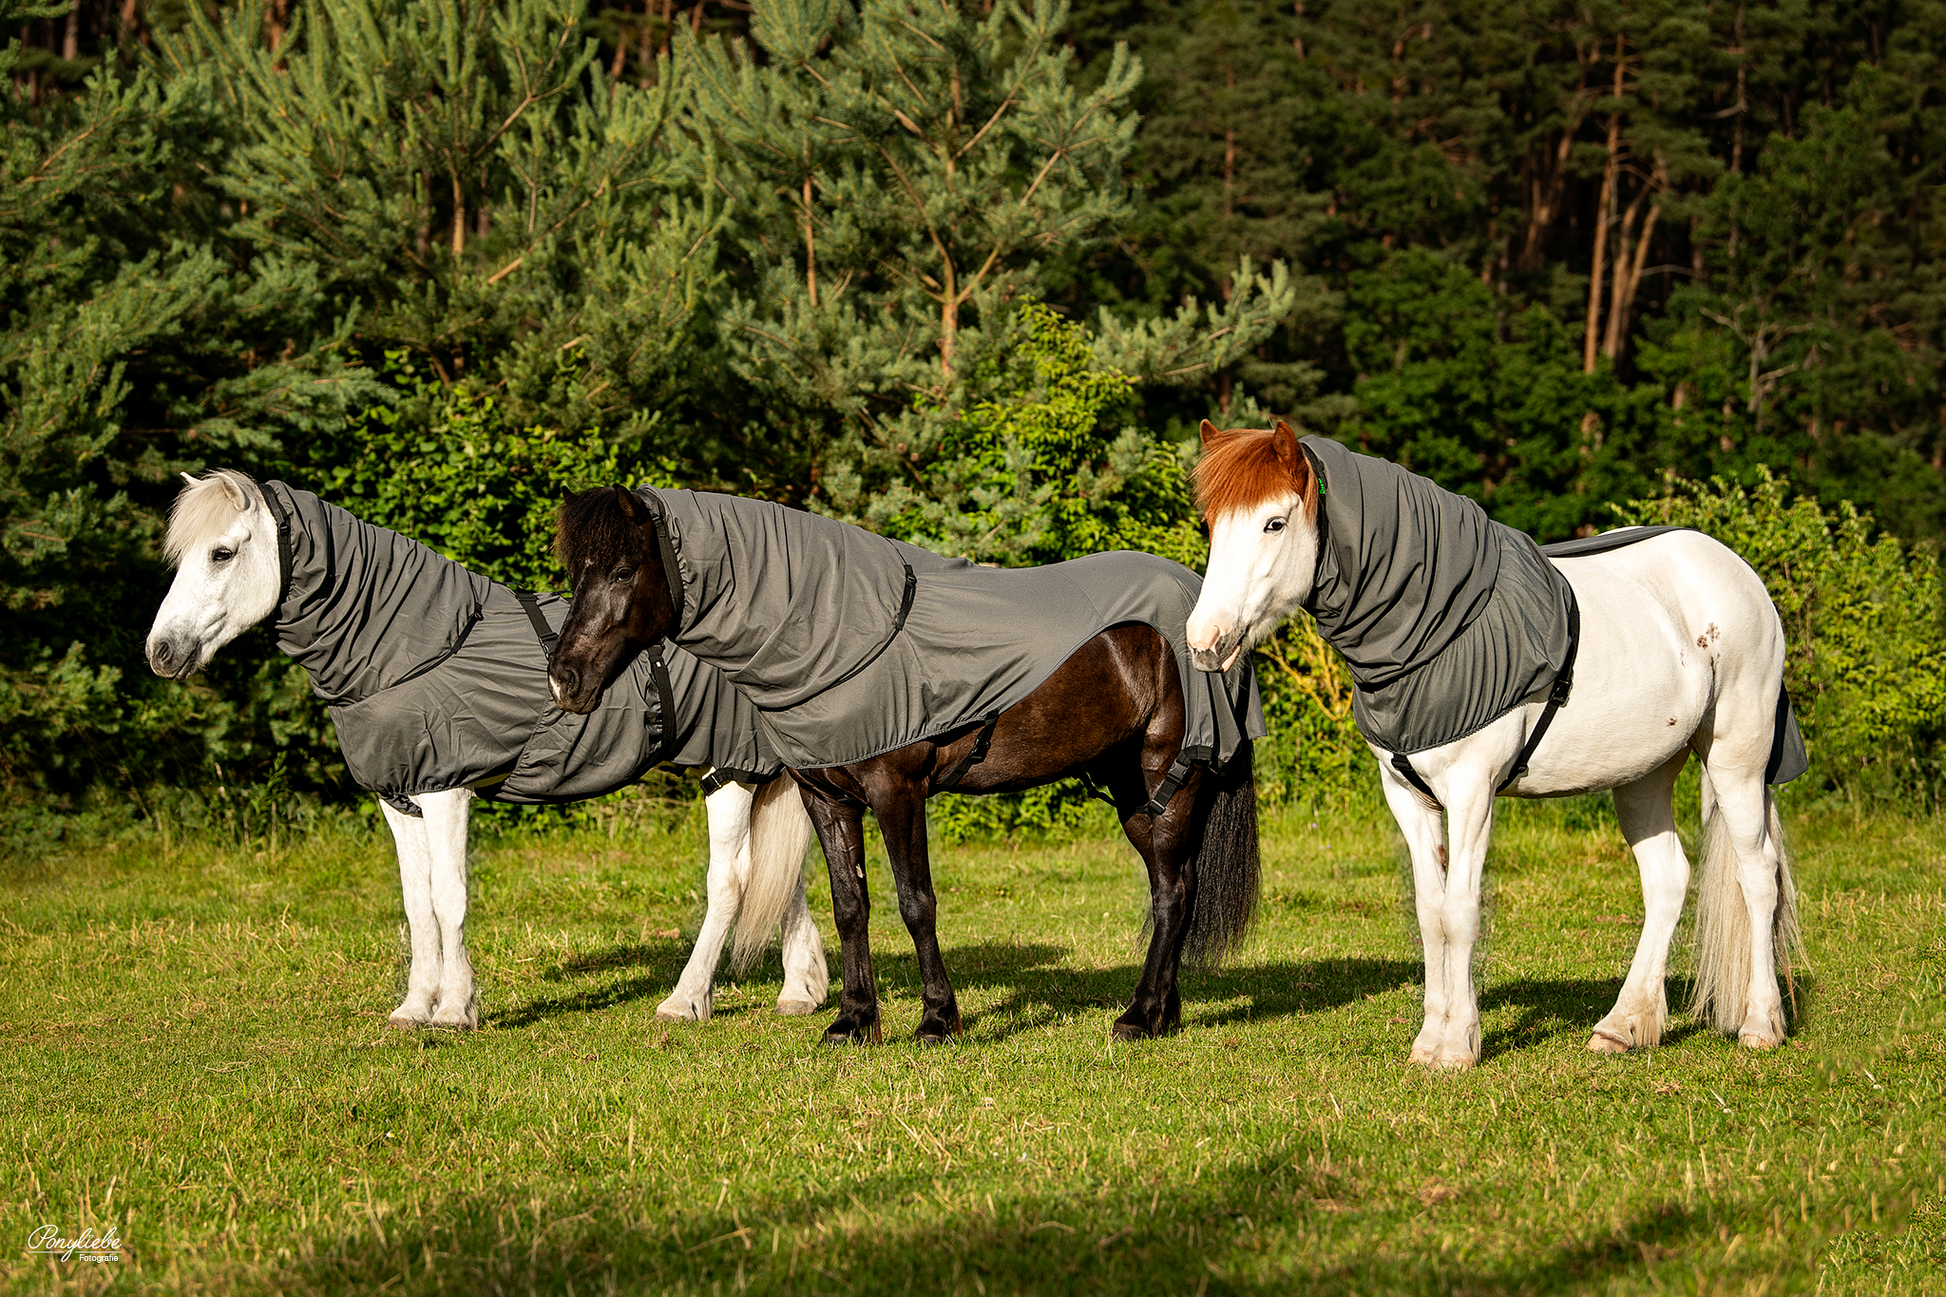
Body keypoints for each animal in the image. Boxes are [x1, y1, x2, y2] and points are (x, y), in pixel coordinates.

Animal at [145, 469, 821, 1028]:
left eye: (222, 551)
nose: (161, 652)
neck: (408, 646)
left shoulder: (445, 788)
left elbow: (449, 897)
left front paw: (455, 1008)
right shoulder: (399, 798)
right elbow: (416, 903)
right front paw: (413, 1008)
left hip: (730, 769)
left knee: (732, 880)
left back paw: (687, 999)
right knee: (783, 875)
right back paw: (799, 992)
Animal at [1183, 418, 1805, 1067]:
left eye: (1274, 523)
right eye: (1211, 524)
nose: (1204, 641)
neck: (1441, 625)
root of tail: (1737, 573)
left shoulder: (1471, 794)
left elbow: (1460, 912)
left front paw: (1458, 1045)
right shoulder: (1406, 797)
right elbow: (1429, 914)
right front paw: (1429, 1041)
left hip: (1737, 759)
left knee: (1759, 877)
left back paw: (1761, 1023)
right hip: (1643, 775)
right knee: (1667, 882)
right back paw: (1623, 1025)